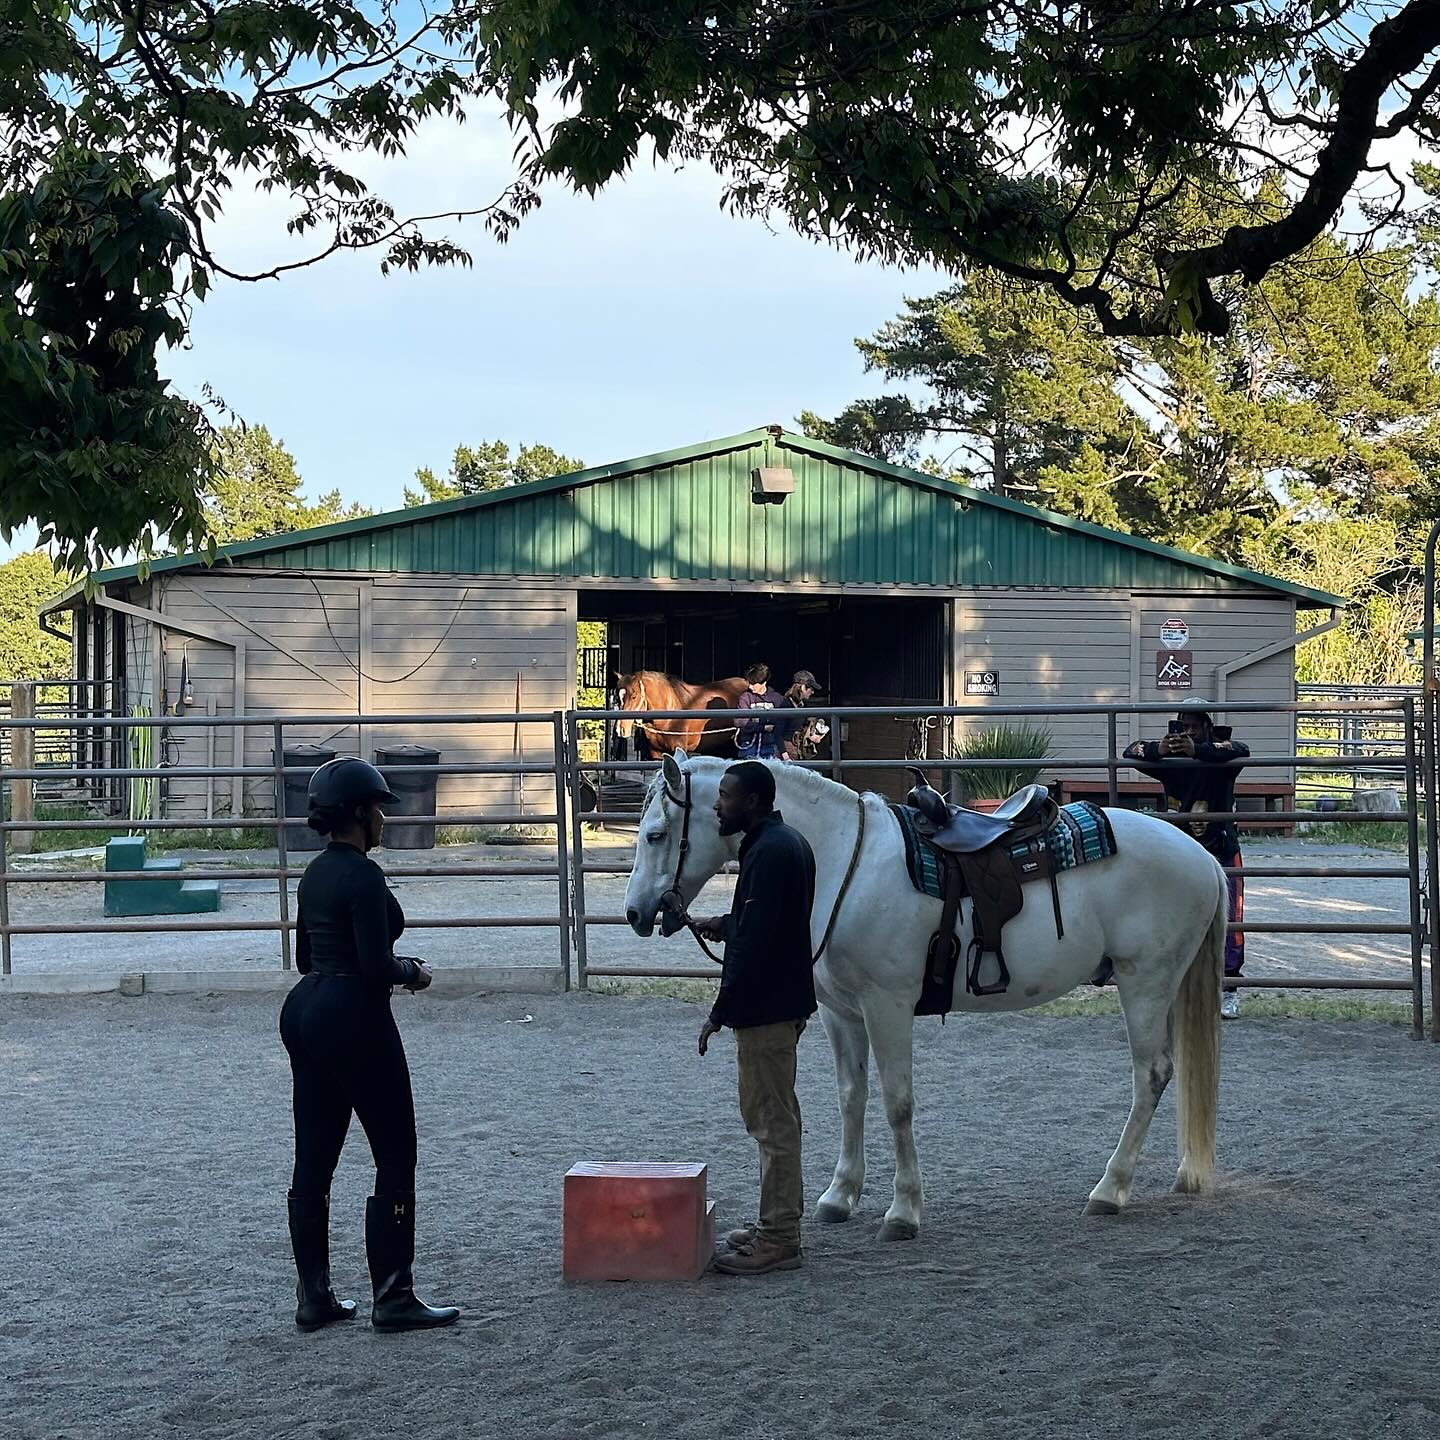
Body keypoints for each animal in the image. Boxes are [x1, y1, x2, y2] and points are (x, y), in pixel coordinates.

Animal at [622, 754, 1226, 1238]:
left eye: (656, 835)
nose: (635, 914)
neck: (844, 863)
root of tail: (1203, 858)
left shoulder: (887, 1006)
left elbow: (897, 1103)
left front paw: (904, 1211)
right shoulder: (842, 1013)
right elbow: (851, 1097)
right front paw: (839, 1197)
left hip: (1144, 982)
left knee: (1151, 1075)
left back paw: (1110, 1189)